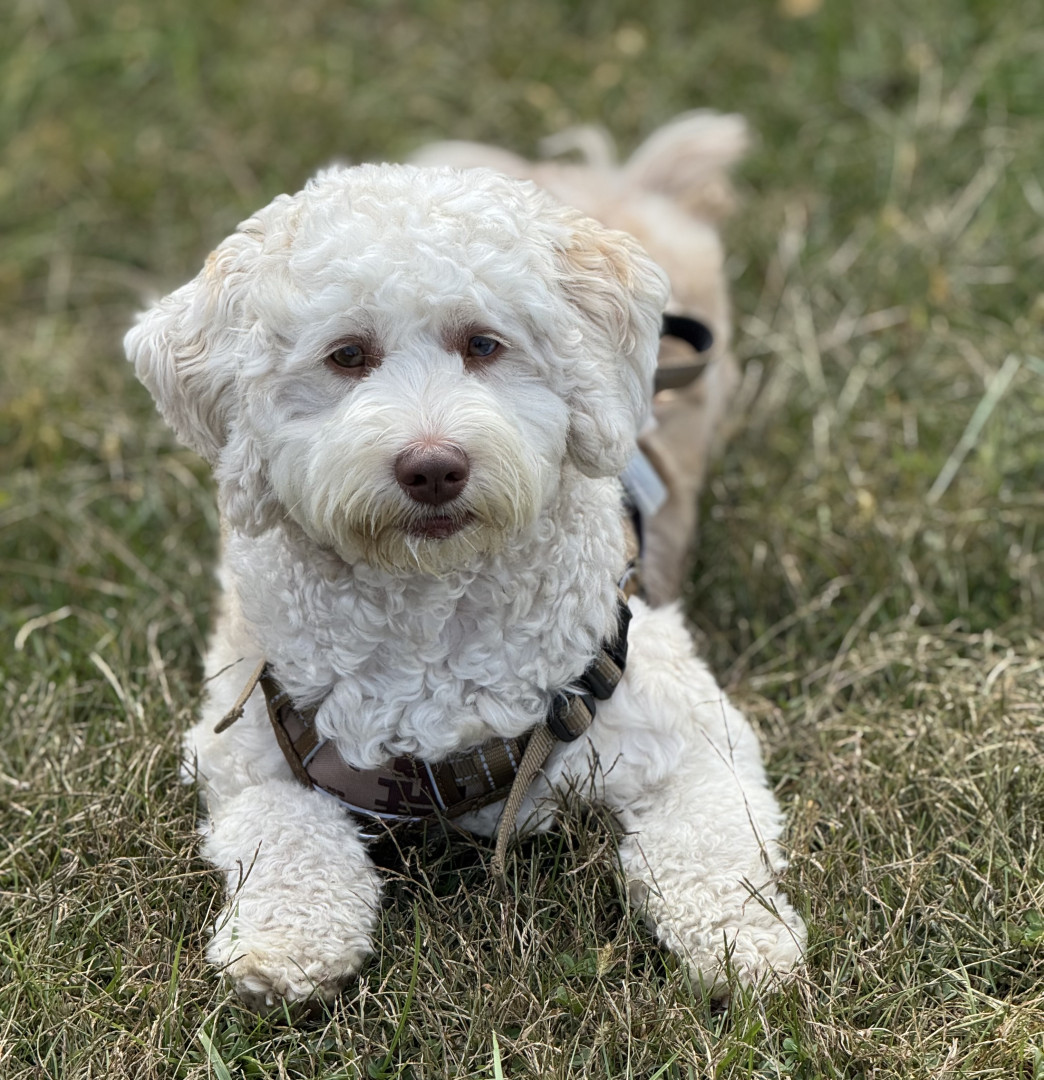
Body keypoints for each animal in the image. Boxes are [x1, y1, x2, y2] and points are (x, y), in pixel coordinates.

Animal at [126, 162, 804, 1009]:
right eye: (347, 355)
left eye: (483, 344)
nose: (433, 468)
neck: (431, 613)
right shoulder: (244, 743)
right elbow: (285, 830)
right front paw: (286, 944)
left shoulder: (683, 724)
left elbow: (713, 840)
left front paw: (745, 942)